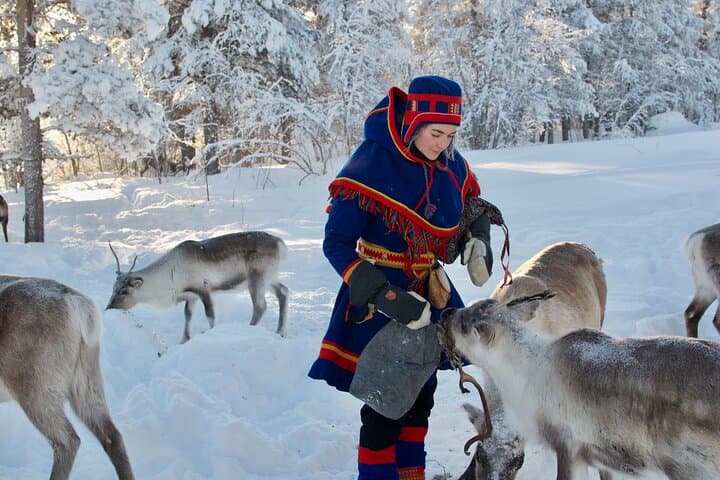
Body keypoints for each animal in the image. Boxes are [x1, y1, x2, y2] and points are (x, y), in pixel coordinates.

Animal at [106, 231, 289, 343]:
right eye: (113, 288)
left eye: (124, 290)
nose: (108, 308)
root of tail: (280, 244)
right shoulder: (191, 296)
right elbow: (187, 315)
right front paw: (183, 339)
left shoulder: (203, 289)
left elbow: (210, 315)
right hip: (270, 278)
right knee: (283, 292)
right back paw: (280, 331)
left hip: (257, 278)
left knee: (260, 306)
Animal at [440, 291, 720, 480]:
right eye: (473, 305)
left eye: (464, 325)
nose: (446, 312)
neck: (523, 377)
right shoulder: (607, 460)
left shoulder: (568, 446)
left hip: (690, 467)